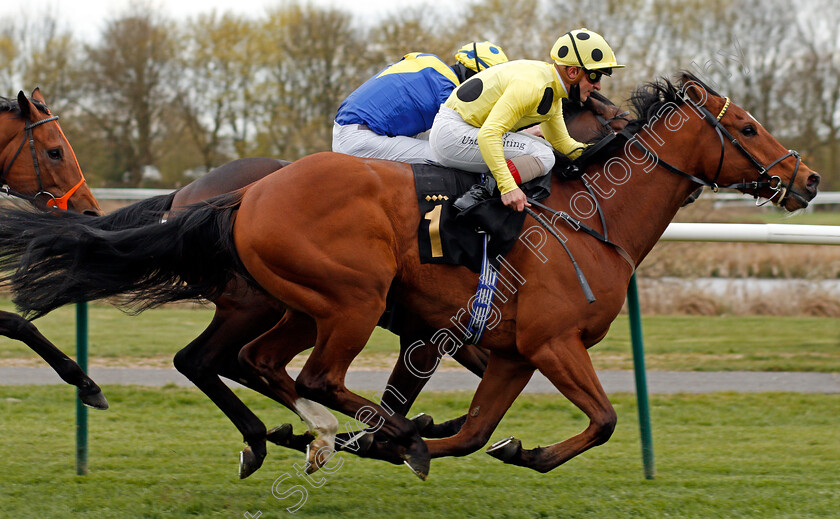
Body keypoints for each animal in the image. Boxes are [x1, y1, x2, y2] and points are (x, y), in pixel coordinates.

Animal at [0, 90, 106, 410]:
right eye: (55, 152)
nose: (91, 212)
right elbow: (18, 323)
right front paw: (85, 381)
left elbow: (21, 324)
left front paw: (86, 383)